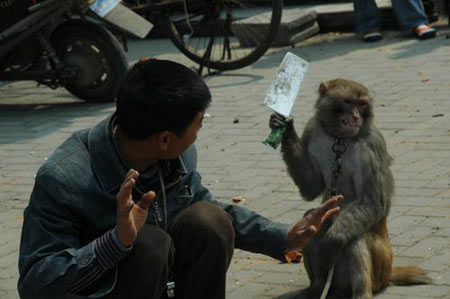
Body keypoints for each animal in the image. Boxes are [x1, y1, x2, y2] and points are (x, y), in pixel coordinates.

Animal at [268, 79, 430, 299]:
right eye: (347, 101)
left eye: (361, 104)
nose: (355, 116)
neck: (340, 139)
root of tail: (388, 274)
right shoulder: (312, 129)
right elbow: (311, 187)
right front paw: (285, 128)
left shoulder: (371, 145)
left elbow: (372, 201)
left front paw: (330, 244)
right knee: (314, 221)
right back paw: (315, 288)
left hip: (380, 267)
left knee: (354, 237)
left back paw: (361, 293)